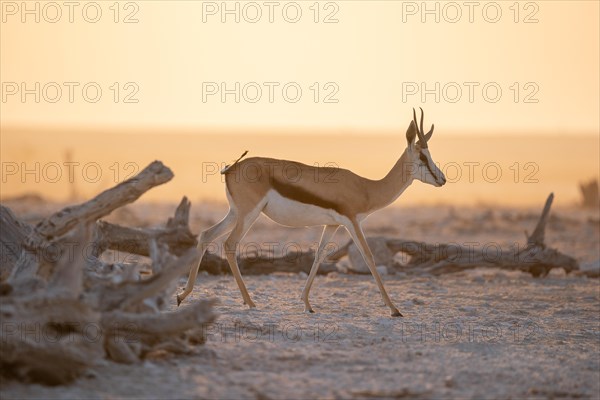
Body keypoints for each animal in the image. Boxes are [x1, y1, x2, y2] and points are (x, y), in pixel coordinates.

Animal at [178, 109, 446, 316]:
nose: (442, 179)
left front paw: (307, 304)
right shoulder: (352, 222)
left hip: (236, 213)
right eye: (422, 156)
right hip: (248, 214)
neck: (366, 188)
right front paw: (394, 309)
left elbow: (319, 255)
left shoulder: (332, 225)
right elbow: (369, 257)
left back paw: (183, 295)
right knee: (230, 244)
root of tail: (231, 168)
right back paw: (250, 302)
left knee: (206, 235)